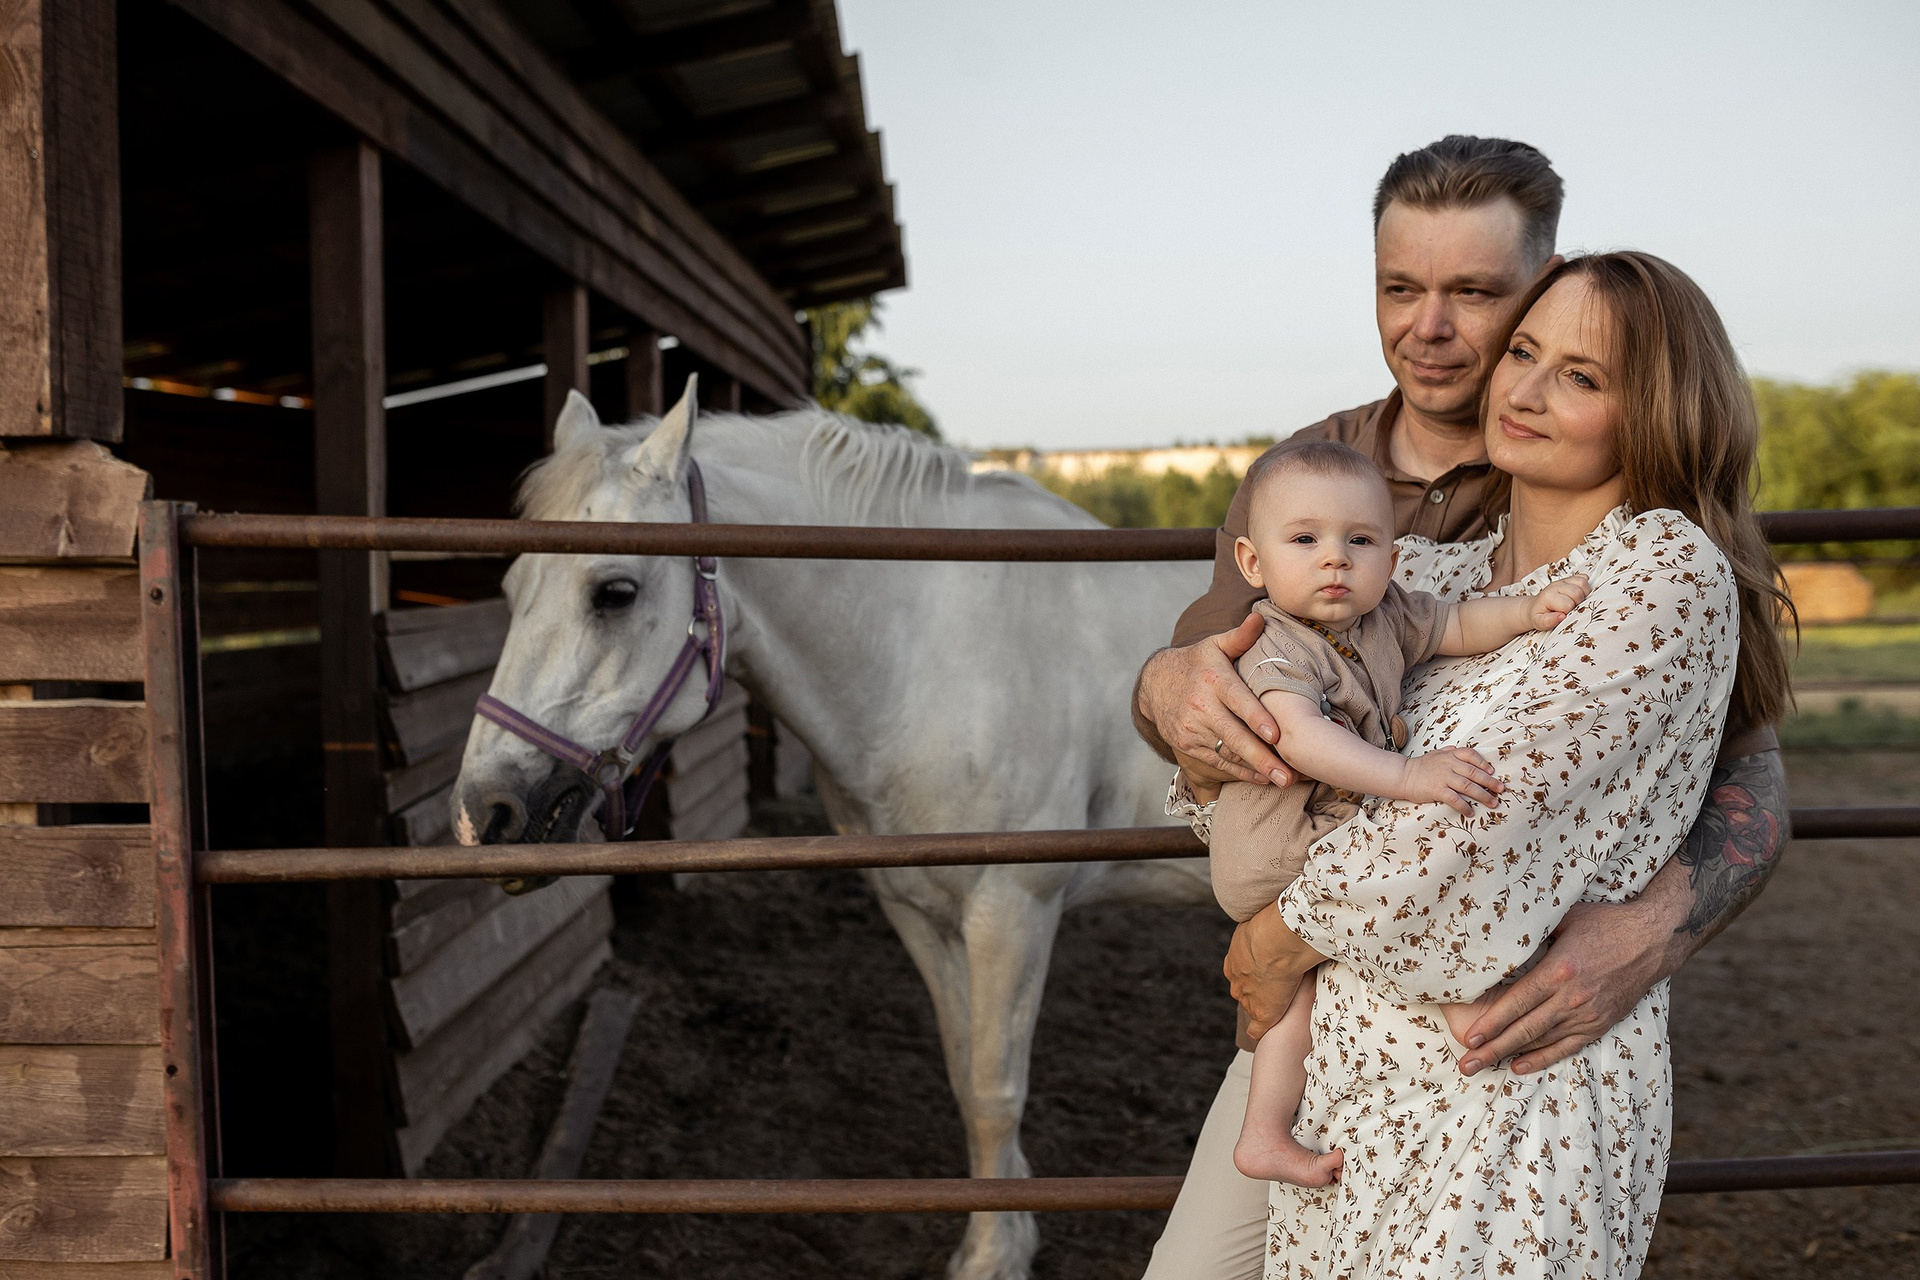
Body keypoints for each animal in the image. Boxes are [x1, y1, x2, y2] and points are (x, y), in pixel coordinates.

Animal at [452, 381, 1215, 1279]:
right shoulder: (918, 908)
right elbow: (966, 1076)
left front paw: (994, 1255)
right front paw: (1005, 1227)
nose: (484, 810)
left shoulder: (1013, 909)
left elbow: (998, 1088)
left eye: (614, 591)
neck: (933, 651)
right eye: (511, 588)